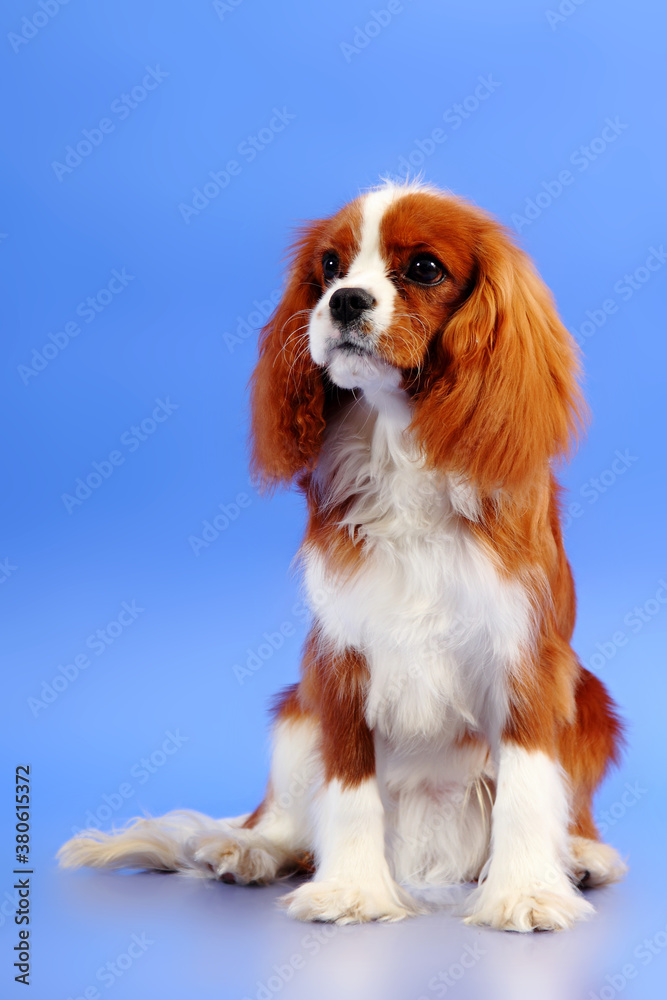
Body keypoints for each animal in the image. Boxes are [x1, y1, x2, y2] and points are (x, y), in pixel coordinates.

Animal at [57, 180, 628, 928]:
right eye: (329, 267)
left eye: (424, 269)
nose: (345, 301)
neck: (402, 445)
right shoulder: (339, 657)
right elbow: (349, 784)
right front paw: (352, 890)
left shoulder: (527, 654)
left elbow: (528, 786)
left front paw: (526, 892)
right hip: (295, 712)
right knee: (286, 822)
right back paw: (250, 850)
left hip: (590, 698)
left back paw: (582, 856)